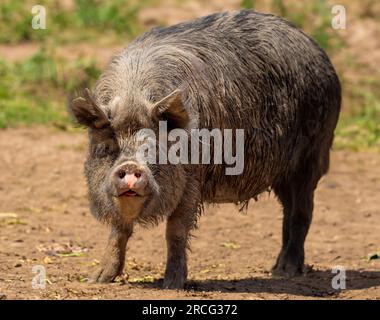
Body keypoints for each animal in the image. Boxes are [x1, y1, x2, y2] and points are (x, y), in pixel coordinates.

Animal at [68, 10, 342, 290]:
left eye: (154, 148)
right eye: (107, 147)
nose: (130, 167)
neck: (134, 96)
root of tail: (315, 47)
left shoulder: (192, 177)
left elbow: (175, 230)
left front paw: (172, 285)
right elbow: (118, 230)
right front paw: (97, 279)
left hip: (312, 156)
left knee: (303, 211)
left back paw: (287, 272)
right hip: (282, 174)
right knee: (288, 211)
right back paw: (275, 270)